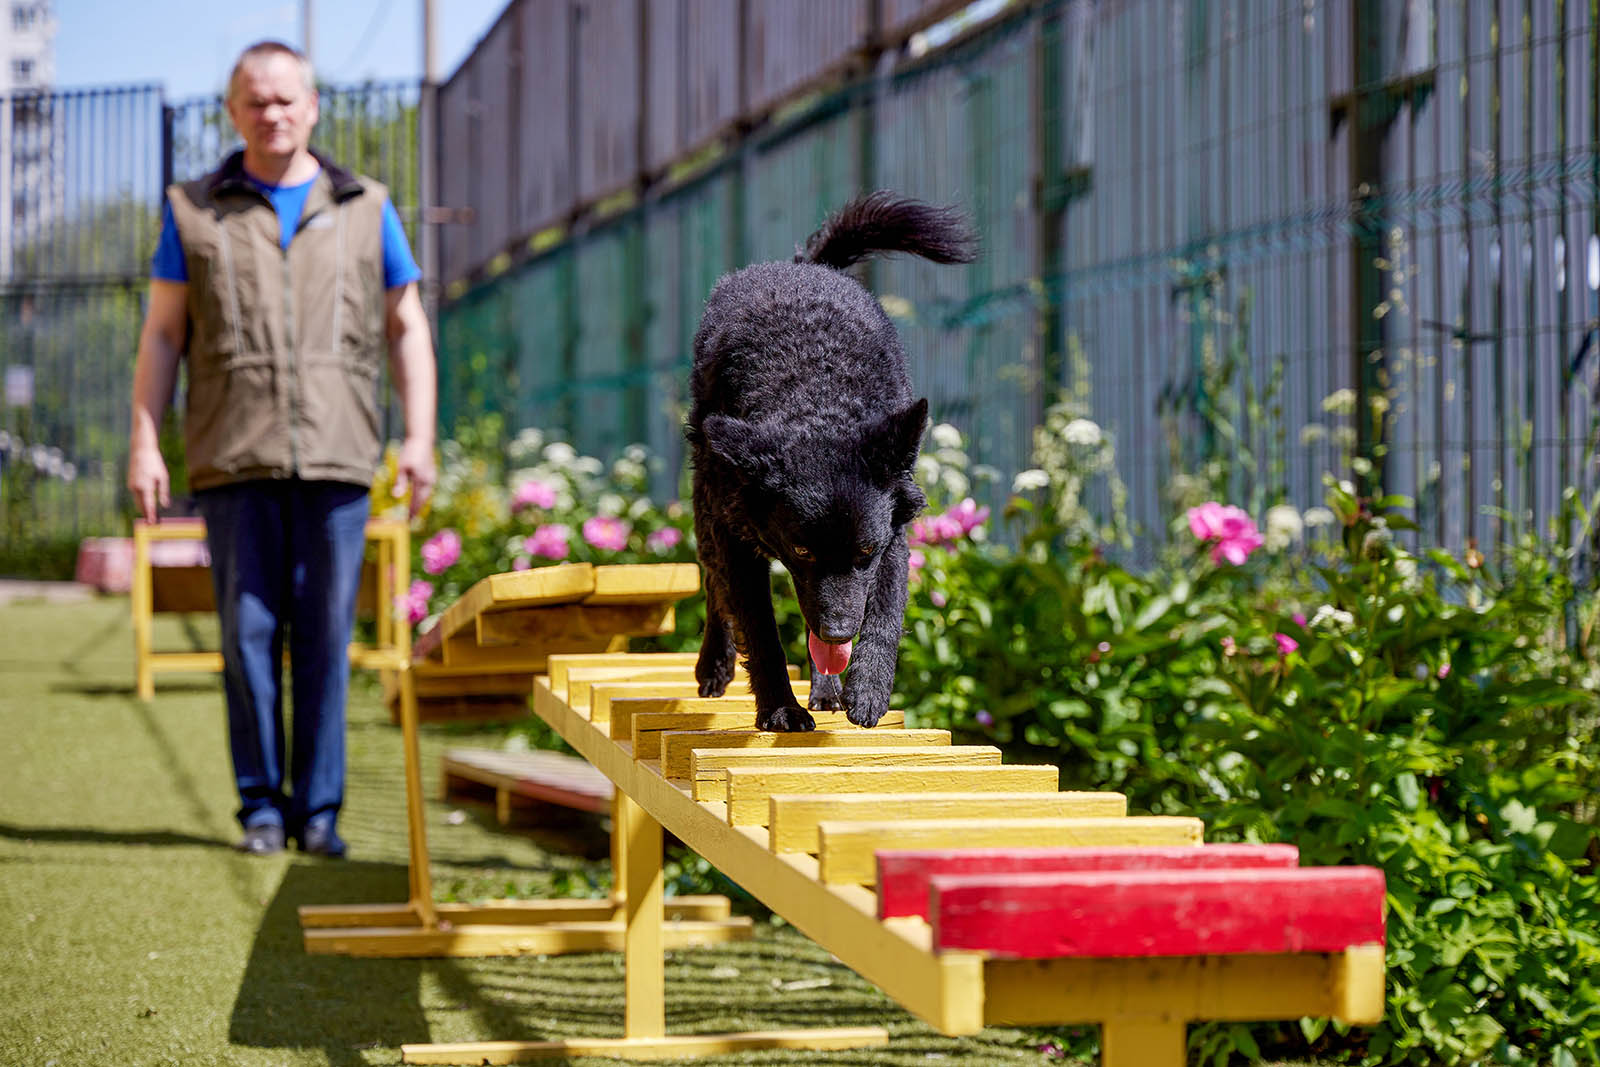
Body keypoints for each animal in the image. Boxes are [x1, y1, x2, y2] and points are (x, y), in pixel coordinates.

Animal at [681, 191, 966, 735]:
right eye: (802, 551)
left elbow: (887, 608)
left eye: (865, 552)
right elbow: (760, 630)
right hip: (706, 513)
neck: (817, 396)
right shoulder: (735, 535)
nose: (838, 631)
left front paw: (867, 688)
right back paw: (715, 665)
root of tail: (802, 266)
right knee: (713, 587)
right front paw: (780, 709)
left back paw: (828, 690)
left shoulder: (893, 530)